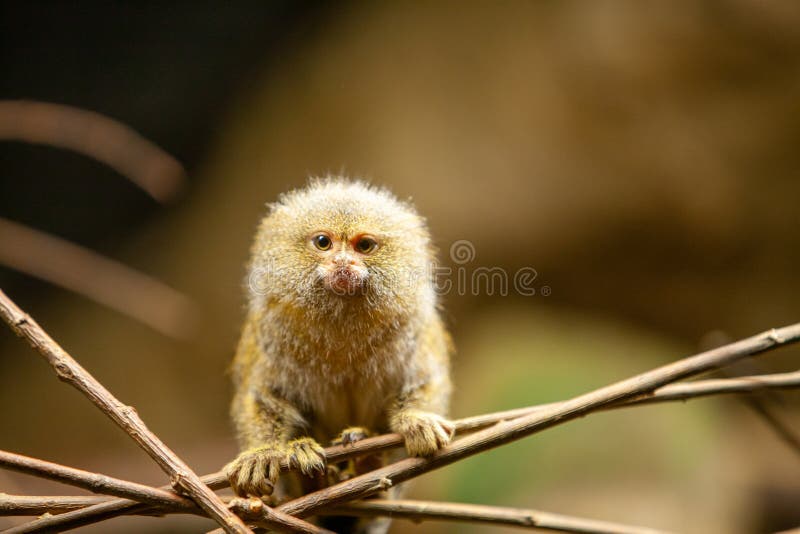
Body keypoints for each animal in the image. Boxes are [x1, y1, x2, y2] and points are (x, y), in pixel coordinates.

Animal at [225, 179, 454, 532]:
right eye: (323, 242)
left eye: (364, 246)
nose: (343, 263)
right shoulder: (271, 332)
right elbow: (261, 396)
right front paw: (262, 453)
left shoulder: (413, 327)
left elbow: (427, 381)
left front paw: (416, 420)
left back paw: (367, 467)